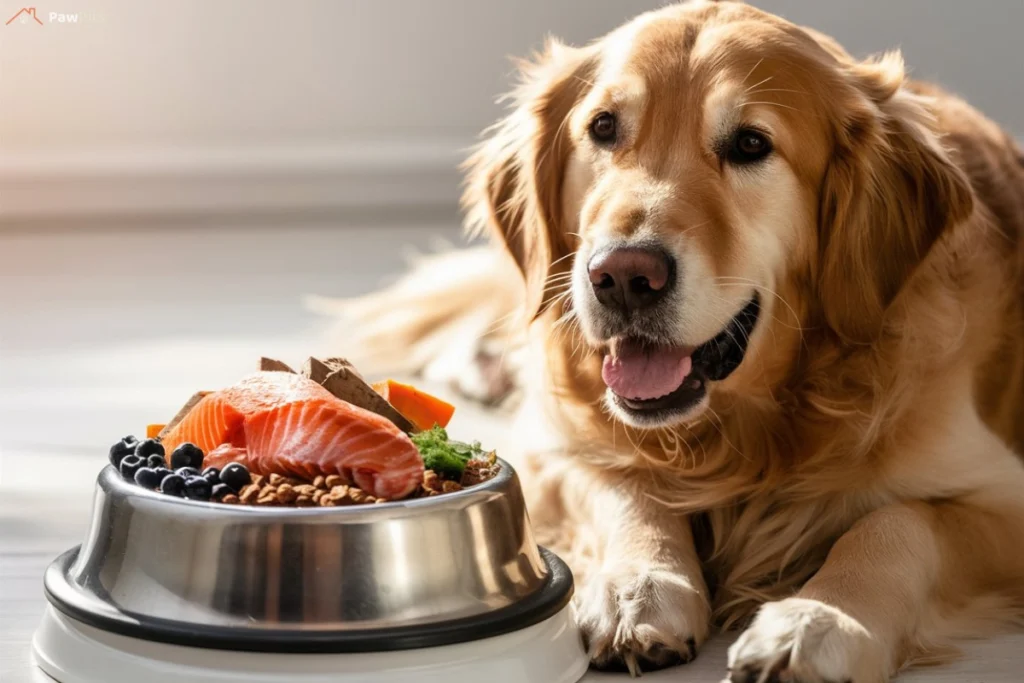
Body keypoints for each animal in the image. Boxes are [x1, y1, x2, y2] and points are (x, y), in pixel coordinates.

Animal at [335, 2, 1024, 679]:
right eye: (603, 128)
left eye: (751, 143)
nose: (622, 277)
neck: (747, 435)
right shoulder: (556, 447)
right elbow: (626, 485)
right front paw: (639, 587)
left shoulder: (1000, 495)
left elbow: (897, 521)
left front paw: (819, 621)